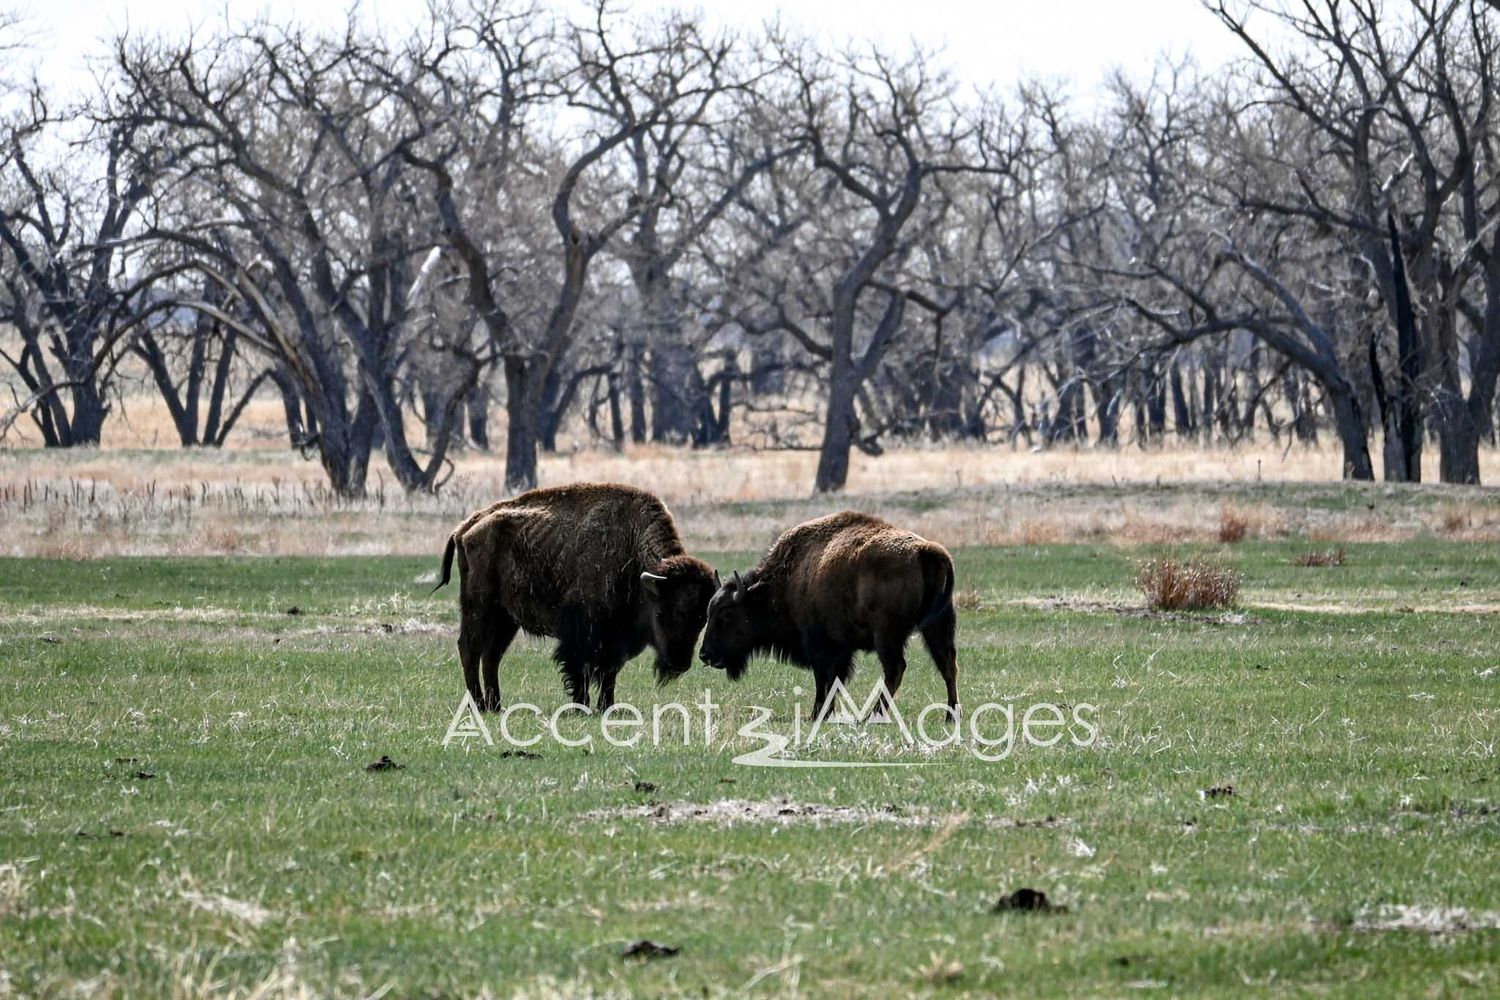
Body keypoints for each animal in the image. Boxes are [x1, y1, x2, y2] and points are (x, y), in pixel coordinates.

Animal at [434, 483, 718, 711]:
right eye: (661, 612)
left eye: (702, 618)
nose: (678, 663)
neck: (632, 551)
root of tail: (466, 527)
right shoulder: (582, 633)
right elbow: (580, 669)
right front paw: (581, 706)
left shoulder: (615, 640)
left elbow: (608, 674)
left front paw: (607, 706)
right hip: (479, 608)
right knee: (470, 649)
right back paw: (480, 705)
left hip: (506, 618)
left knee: (491, 656)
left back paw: (496, 706)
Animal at [698, 511, 958, 718]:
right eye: (709, 612)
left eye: (727, 614)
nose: (704, 654)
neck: (788, 577)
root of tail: (925, 550)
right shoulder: (840, 647)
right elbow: (834, 679)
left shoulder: (818, 643)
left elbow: (824, 677)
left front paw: (818, 714)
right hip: (936, 627)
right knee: (947, 665)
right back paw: (951, 716)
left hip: (887, 635)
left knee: (896, 669)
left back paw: (872, 717)